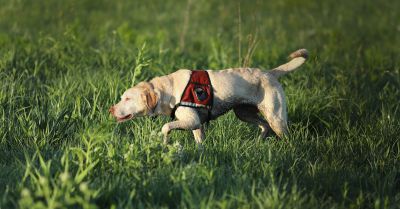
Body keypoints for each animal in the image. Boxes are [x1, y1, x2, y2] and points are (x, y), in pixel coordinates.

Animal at [110, 48, 310, 144]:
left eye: (127, 99)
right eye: (121, 98)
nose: (111, 110)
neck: (169, 90)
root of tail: (270, 73)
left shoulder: (192, 121)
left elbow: (166, 127)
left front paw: (165, 142)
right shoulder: (197, 125)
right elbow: (200, 143)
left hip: (277, 118)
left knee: (284, 135)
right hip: (244, 113)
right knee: (264, 126)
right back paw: (257, 143)